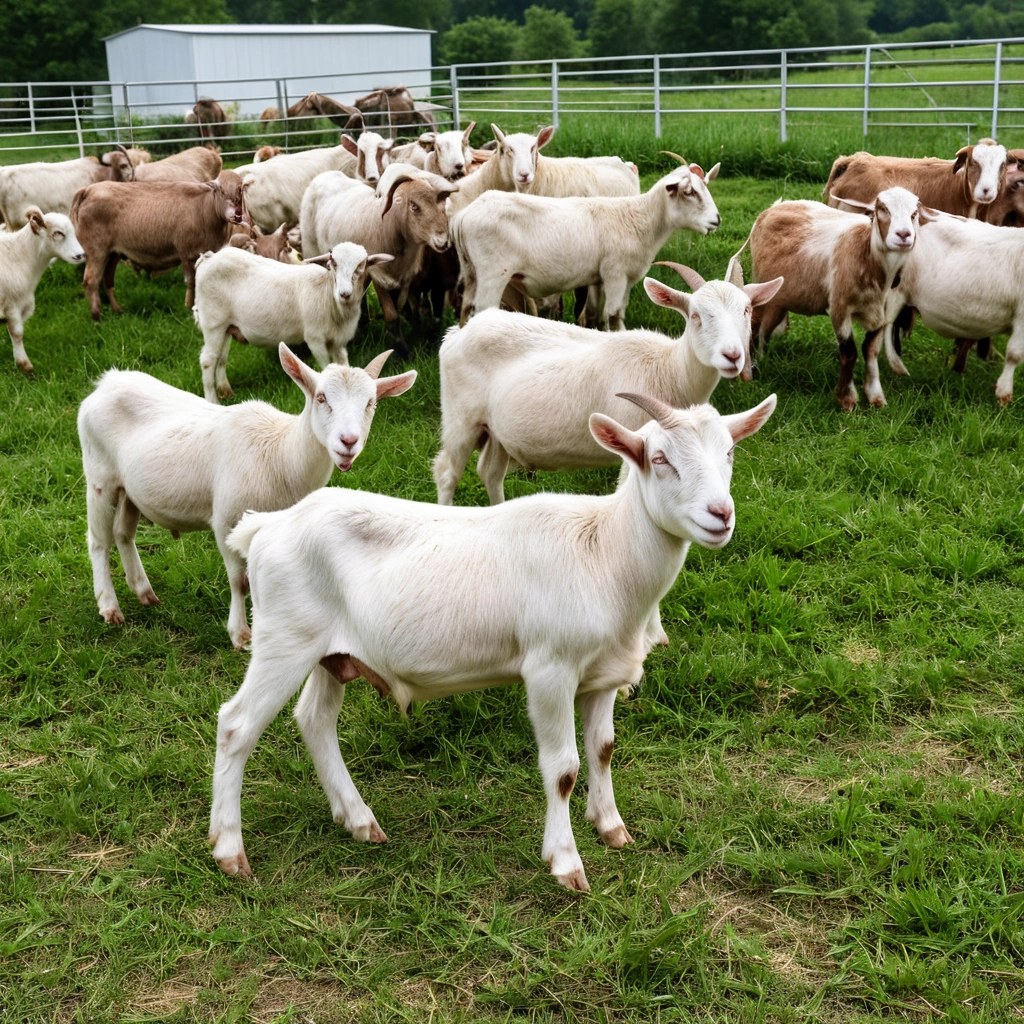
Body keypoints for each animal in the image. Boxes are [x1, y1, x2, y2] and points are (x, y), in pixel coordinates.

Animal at [71, 171, 246, 319]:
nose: (237, 214)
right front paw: (188, 307)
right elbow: (191, 282)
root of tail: (88, 190)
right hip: (96, 251)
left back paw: (117, 310)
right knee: (91, 281)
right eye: (221, 190)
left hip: (113, 253)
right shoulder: (186, 253)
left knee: (107, 280)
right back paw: (96, 316)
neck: (204, 208)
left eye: (240, 190)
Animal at [78, 343, 417, 649]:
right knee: (98, 541)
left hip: (129, 489)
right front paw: (241, 635)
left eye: (370, 403)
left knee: (123, 534)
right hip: (99, 477)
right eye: (321, 397)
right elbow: (239, 581)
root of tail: (106, 382)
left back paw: (144, 592)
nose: (348, 442)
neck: (280, 456)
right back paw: (109, 607)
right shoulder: (226, 519)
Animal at [195, 242, 392, 402]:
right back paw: (212, 400)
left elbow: (342, 364)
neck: (328, 293)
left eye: (361, 265)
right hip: (213, 323)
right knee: (208, 360)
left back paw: (225, 390)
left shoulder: (338, 341)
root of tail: (210, 258)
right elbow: (325, 365)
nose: (344, 294)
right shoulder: (315, 338)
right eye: (333, 263)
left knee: (221, 356)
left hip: (227, 326)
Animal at [208, 390, 777, 888]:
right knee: (237, 725)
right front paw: (566, 863)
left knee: (315, 720)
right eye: (659, 458)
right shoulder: (550, 669)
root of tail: (266, 526)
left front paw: (612, 828)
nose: (720, 515)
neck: (604, 551)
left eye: (729, 452)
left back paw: (359, 820)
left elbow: (604, 749)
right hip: (286, 638)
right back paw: (230, 851)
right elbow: (564, 768)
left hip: (333, 651)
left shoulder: (603, 675)